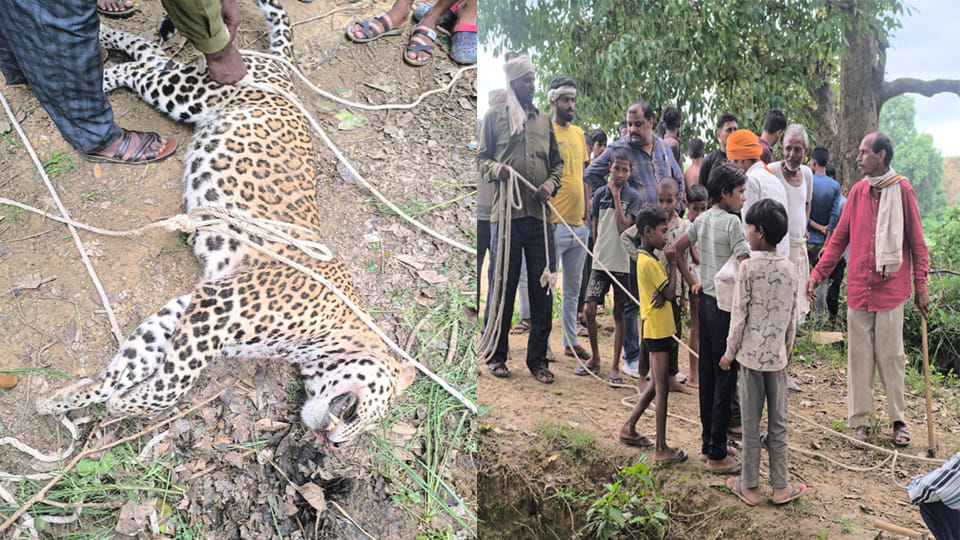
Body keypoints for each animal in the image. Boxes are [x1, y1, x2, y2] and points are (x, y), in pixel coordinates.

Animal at [36, 0, 416, 449]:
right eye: (373, 414)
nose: (337, 445)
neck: (340, 330)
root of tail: (282, 69)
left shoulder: (192, 305)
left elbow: (134, 359)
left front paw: (74, 398)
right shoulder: (218, 308)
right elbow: (175, 382)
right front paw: (122, 404)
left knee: (150, 55)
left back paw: (102, 46)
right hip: (195, 91)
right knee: (144, 67)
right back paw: (99, 72)